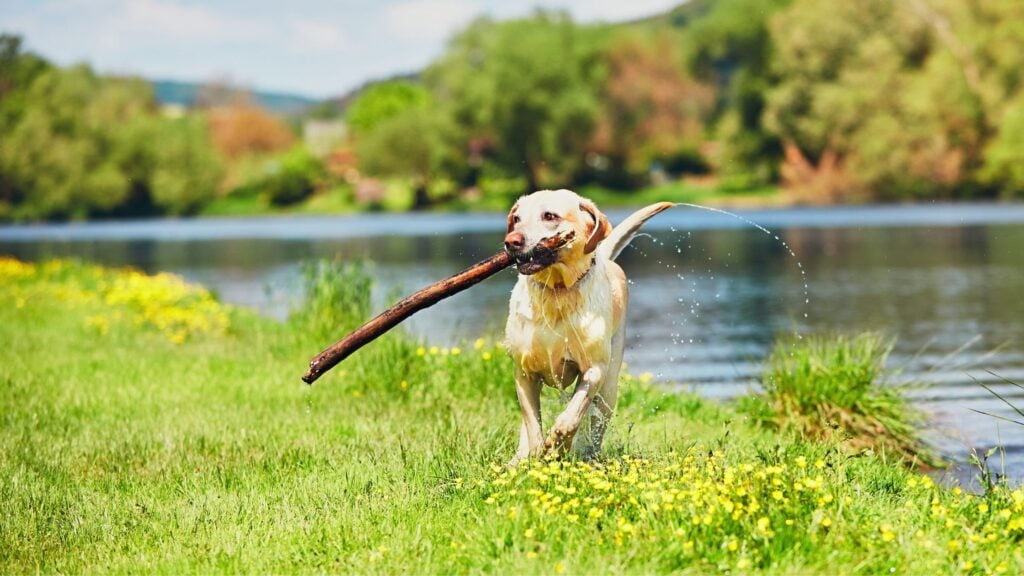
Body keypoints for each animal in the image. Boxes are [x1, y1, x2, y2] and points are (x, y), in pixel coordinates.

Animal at [501, 188, 671, 461]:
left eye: (549, 216)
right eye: (516, 219)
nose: (512, 241)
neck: (557, 292)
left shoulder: (594, 369)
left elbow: (573, 414)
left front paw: (559, 443)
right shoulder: (524, 373)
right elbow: (532, 424)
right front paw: (535, 454)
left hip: (609, 387)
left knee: (596, 422)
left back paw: (589, 455)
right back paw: (518, 459)